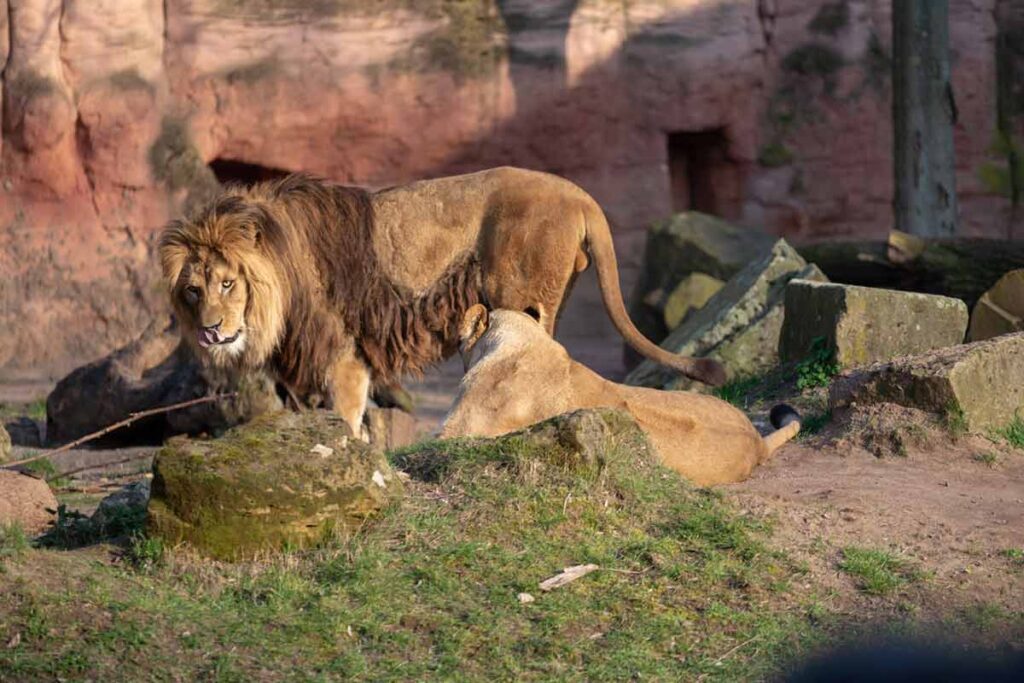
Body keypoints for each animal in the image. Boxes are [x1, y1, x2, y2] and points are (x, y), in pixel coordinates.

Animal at [157, 167, 720, 436]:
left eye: (228, 284)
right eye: (193, 290)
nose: (210, 330)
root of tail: (578, 194)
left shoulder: (343, 353)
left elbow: (346, 419)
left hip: (523, 296)